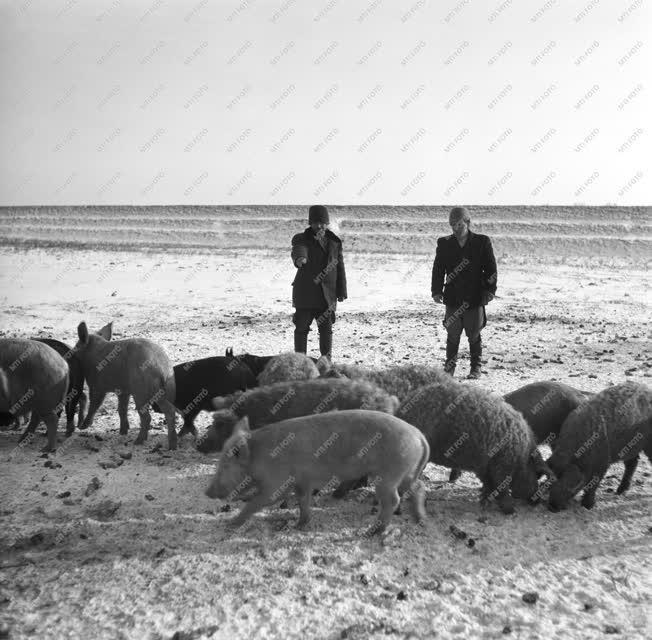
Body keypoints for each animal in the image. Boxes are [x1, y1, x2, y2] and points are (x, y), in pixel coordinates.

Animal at [73, 320, 177, 450]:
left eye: (76, 346)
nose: (69, 352)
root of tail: (162, 369)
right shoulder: (123, 391)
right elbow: (121, 409)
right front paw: (123, 432)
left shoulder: (97, 386)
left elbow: (94, 405)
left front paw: (82, 427)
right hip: (164, 392)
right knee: (170, 411)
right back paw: (172, 445)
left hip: (141, 392)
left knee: (149, 416)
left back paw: (138, 442)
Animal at [204, 410, 428, 536]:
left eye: (225, 466)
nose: (207, 492)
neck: (258, 458)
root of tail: (418, 434)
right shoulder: (302, 482)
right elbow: (303, 501)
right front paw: (300, 525)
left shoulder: (277, 483)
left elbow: (257, 502)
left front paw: (230, 524)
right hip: (406, 472)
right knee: (418, 487)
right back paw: (420, 519)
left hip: (388, 474)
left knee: (393, 499)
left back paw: (371, 532)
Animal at [398, 380, 552, 516]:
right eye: (536, 475)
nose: (538, 501)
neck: (521, 457)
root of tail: (402, 408)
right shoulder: (500, 468)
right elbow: (501, 489)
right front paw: (510, 511)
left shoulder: (484, 468)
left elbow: (488, 486)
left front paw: (484, 502)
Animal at [548, 382, 648, 512]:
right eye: (550, 481)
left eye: (569, 485)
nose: (551, 507)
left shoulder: (603, 463)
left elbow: (593, 483)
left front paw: (588, 505)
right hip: (629, 448)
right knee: (632, 463)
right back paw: (620, 491)